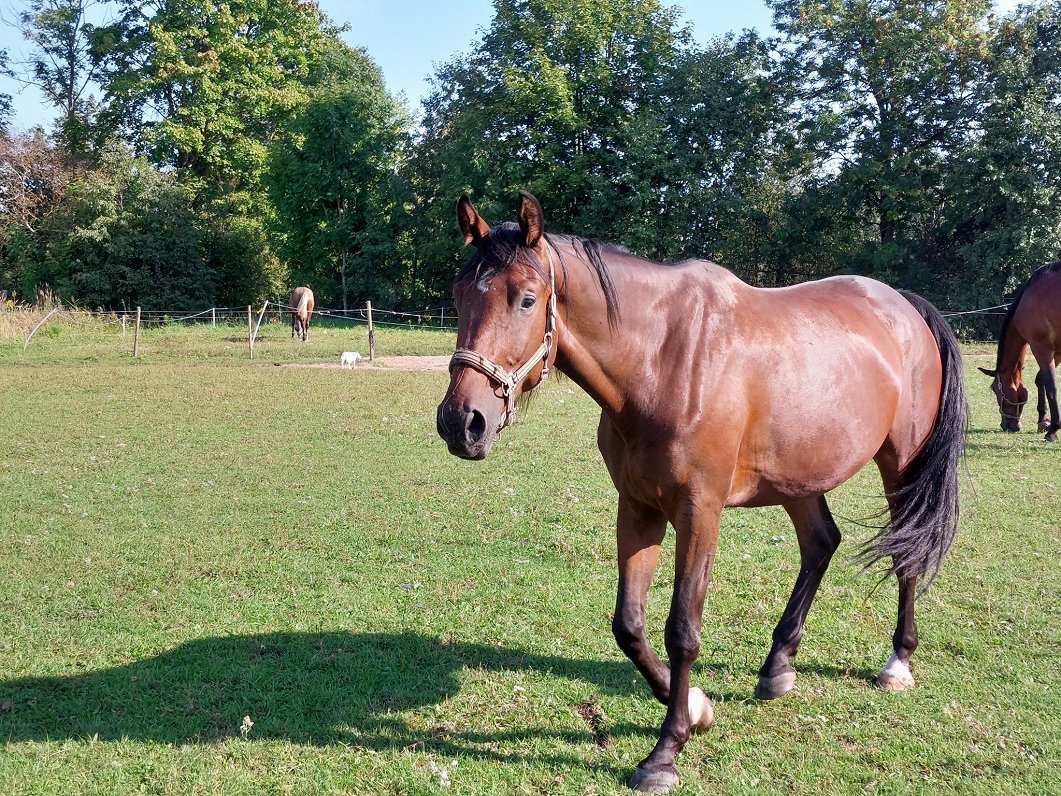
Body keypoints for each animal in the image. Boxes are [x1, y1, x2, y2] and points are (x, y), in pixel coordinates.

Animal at [435, 192, 967, 793]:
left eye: (527, 299)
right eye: (458, 295)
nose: (462, 422)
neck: (663, 362)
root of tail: (903, 307)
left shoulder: (699, 513)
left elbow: (682, 631)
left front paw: (665, 752)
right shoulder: (638, 508)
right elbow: (629, 626)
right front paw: (693, 704)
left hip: (900, 465)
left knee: (905, 554)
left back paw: (897, 661)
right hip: (798, 477)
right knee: (820, 543)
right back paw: (778, 665)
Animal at [976, 265, 1061, 445]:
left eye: (996, 390)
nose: (1007, 425)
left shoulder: (1041, 347)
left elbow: (1051, 387)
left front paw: (1053, 430)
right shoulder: (1057, 351)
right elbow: (1040, 380)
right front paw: (1043, 421)